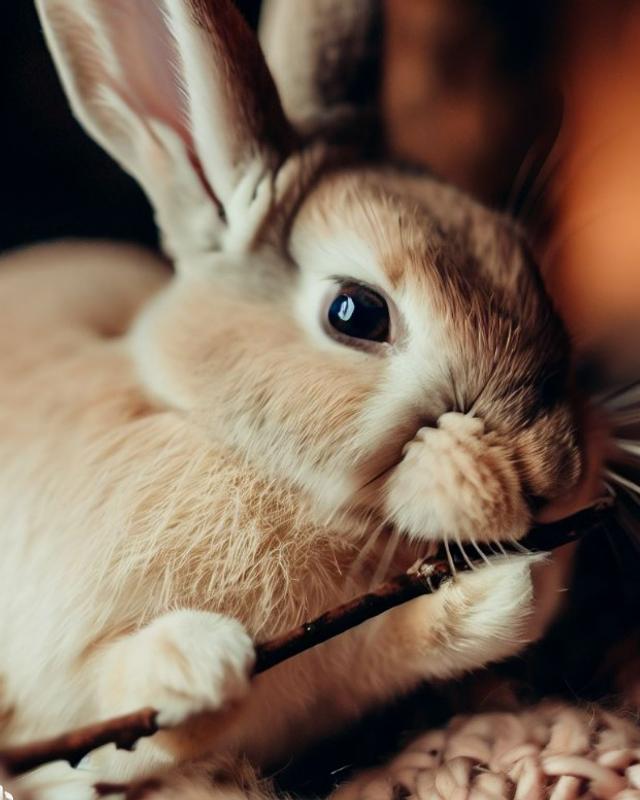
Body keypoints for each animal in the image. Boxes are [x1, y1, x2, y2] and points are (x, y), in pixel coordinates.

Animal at [0, 0, 602, 797]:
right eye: (355, 313)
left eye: (519, 253)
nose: (554, 470)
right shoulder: (62, 684)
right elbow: (115, 707)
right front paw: (194, 664)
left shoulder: (340, 665)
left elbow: (383, 646)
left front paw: (515, 592)